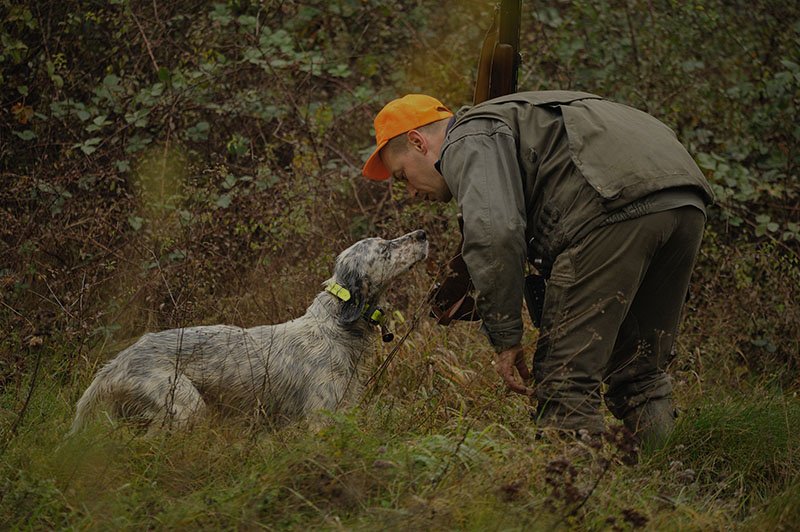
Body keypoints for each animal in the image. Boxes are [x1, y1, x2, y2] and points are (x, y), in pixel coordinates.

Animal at [67, 231, 432, 434]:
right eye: (384, 249)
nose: (423, 232)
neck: (335, 326)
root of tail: (116, 364)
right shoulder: (319, 417)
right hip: (185, 407)